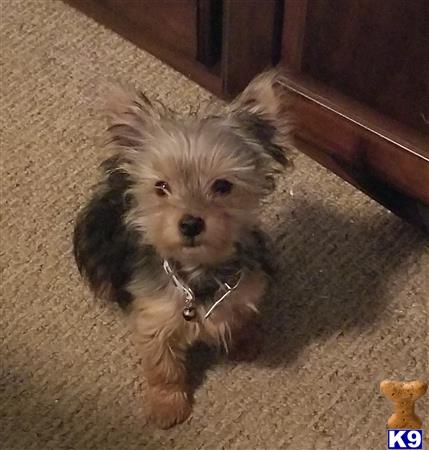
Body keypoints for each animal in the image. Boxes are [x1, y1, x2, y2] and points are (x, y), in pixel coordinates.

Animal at [74, 68, 294, 428]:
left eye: (223, 186)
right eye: (161, 187)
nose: (190, 223)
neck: (199, 270)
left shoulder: (244, 288)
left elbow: (240, 315)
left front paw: (245, 341)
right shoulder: (154, 320)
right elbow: (163, 368)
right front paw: (168, 405)